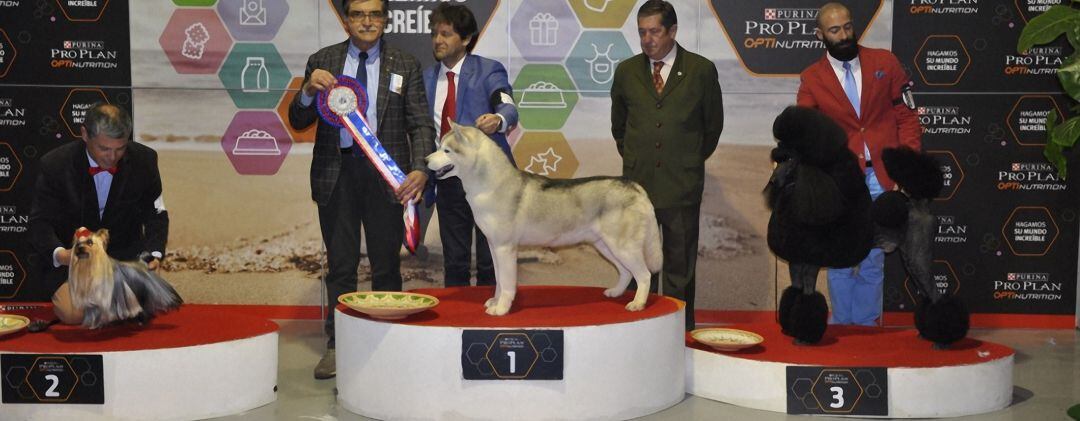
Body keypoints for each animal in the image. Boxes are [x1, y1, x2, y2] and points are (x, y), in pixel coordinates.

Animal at [54, 226, 183, 328]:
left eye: (90, 242)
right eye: (77, 244)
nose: (80, 248)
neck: (90, 265)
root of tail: (142, 264)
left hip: (152, 290)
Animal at [425, 123, 660, 313]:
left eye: (446, 150)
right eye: (440, 146)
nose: (425, 160)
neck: (489, 185)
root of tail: (635, 186)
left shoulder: (505, 248)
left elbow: (507, 283)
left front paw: (502, 308)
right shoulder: (494, 246)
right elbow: (499, 280)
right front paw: (495, 301)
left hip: (623, 246)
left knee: (644, 275)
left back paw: (638, 303)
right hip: (606, 246)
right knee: (626, 272)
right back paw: (616, 292)